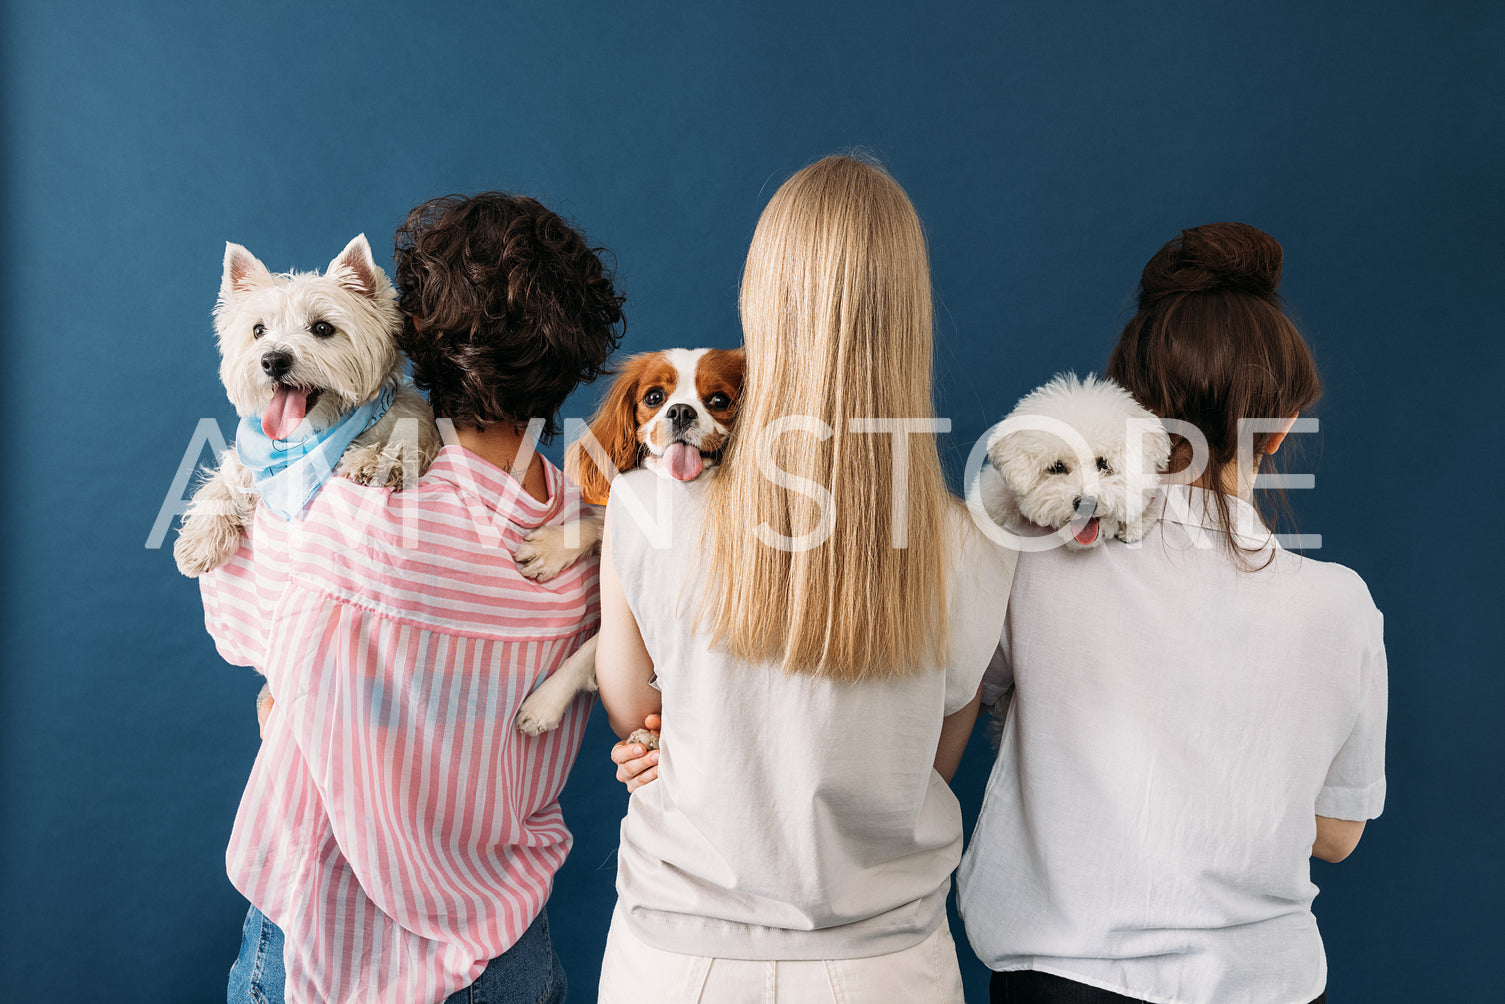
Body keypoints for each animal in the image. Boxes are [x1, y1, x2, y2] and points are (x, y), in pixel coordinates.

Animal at [173, 236, 439, 578]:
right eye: (258, 330)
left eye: (323, 328)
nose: (273, 360)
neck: (309, 434)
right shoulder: (252, 464)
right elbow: (226, 479)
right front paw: (200, 539)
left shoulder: (417, 430)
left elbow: (404, 445)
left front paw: (373, 460)